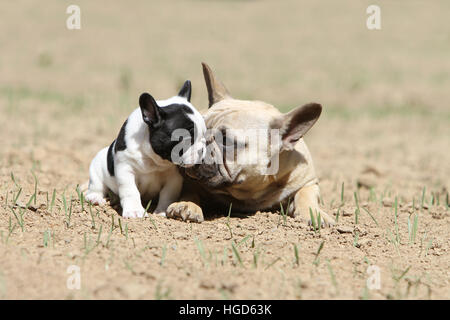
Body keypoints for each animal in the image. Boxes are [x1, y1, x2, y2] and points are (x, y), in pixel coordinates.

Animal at [85, 81, 207, 219]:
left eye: (204, 135)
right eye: (186, 138)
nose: (202, 150)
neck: (153, 158)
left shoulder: (174, 178)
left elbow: (168, 194)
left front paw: (162, 211)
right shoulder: (125, 169)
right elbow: (131, 191)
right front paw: (134, 211)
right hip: (96, 168)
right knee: (97, 187)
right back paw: (95, 198)